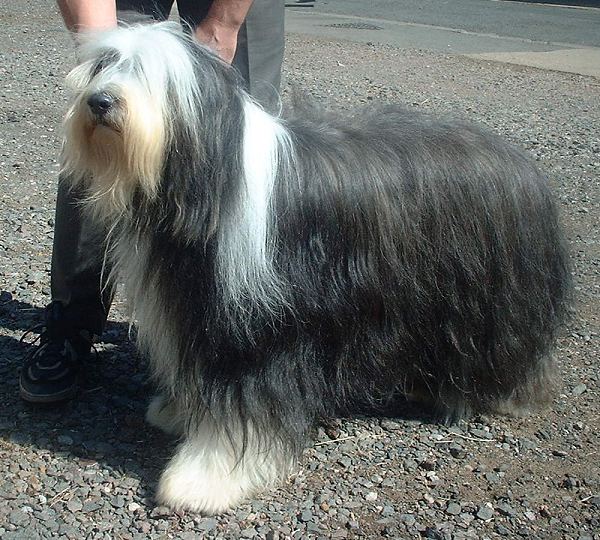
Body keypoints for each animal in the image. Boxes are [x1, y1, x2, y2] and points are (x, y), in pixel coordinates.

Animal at [61, 22, 572, 516]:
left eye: (149, 74)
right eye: (104, 65)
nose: (99, 101)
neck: (214, 180)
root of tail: (521, 164)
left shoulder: (255, 337)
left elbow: (238, 414)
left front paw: (203, 480)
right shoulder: (193, 310)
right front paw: (177, 411)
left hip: (484, 299)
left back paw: (498, 394)